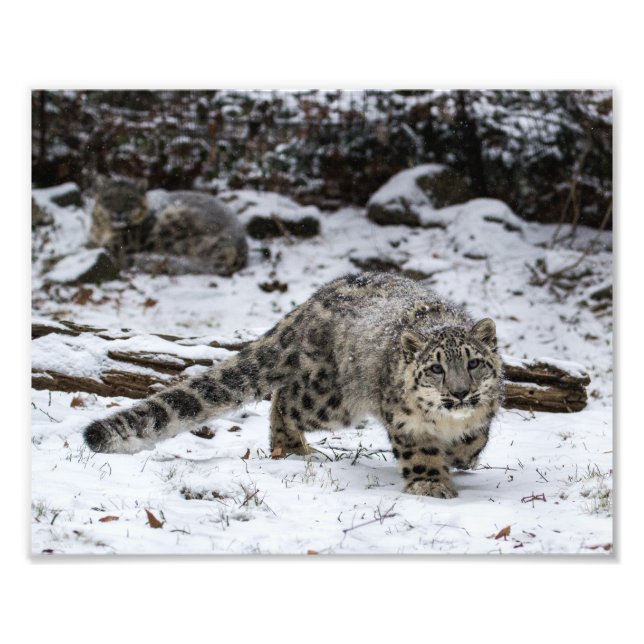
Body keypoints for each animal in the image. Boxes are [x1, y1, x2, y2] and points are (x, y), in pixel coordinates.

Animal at [83, 272, 503, 498]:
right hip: (331, 399)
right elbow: (420, 452)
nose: (460, 392)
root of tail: (313, 300)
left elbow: (475, 439)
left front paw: (460, 455)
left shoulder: (483, 413)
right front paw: (431, 485)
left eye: (473, 363)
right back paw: (293, 447)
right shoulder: (405, 421)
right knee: (284, 399)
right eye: (435, 368)